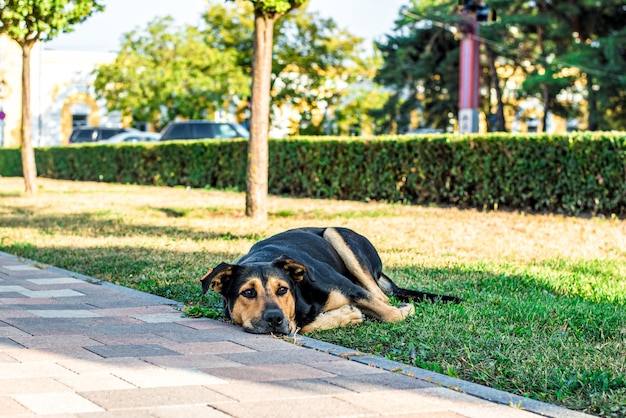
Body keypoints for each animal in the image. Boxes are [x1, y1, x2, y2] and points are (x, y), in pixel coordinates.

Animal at [201, 227, 458, 334]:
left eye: (282, 289)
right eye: (248, 292)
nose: (274, 318)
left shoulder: (351, 289)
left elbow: (391, 314)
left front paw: (405, 310)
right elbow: (302, 326)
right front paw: (347, 315)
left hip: (335, 233)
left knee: (382, 297)